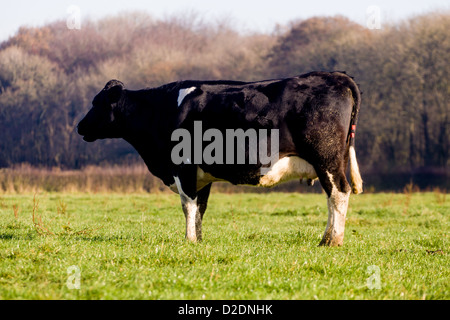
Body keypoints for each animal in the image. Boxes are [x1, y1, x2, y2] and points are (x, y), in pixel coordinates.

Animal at [77, 71, 364, 248]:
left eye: (97, 103)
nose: (80, 126)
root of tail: (335, 76)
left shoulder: (183, 167)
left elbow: (188, 205)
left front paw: (189, 240)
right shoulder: (202, 175)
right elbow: (200, 208)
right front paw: (199, 240)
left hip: (327, 158)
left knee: (339, 192)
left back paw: (332, 241)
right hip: (329, 161)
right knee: (332, 196)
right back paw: (326, 238)